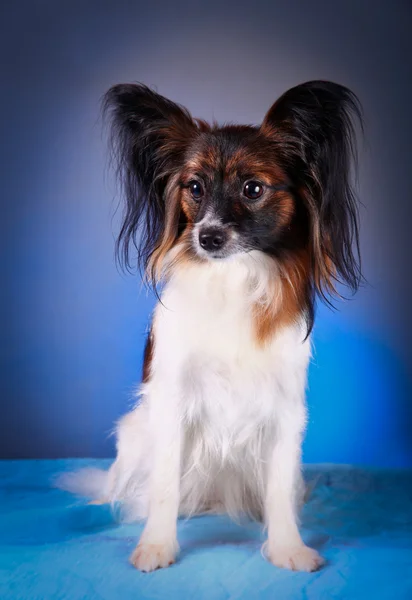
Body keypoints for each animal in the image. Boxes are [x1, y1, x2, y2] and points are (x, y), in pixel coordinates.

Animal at [62, 79, 362, 572]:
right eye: (195, 187)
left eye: (253, 188)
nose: (208, 237)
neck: (233, 276)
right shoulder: (173, 401)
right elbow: (164, 486)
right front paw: (157, 546)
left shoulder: (284, 410)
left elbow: (279, 490)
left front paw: (288, 548)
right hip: (134, 434)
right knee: (128, 482)